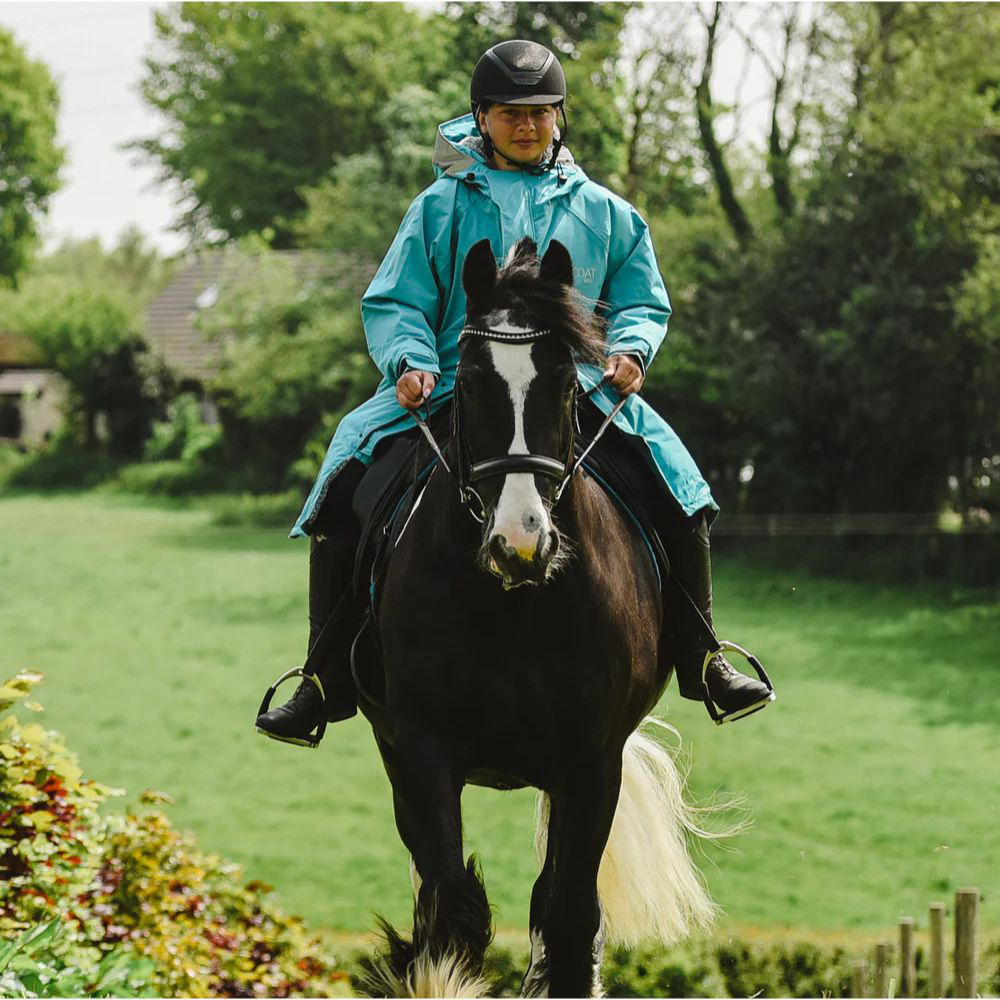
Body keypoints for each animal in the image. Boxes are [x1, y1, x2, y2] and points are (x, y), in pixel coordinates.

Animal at [352, 238, 720, 996]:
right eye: (467, 383)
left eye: (568, 384)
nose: (521, 541)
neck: (516, 605)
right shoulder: (423, 750)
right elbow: (449, 920)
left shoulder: (591, 759)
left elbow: (571, 919)